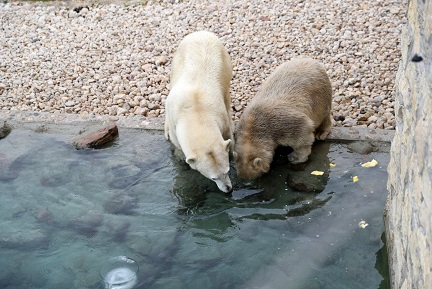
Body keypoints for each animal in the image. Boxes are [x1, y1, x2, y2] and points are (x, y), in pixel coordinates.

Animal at [165, 30, 233, 192]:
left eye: (227, 171)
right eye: (213, 178)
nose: (228, 189)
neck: (196, 112)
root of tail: (201, 32)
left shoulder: (221, 117)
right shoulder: (174, 121)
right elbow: (178, 148)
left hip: (224, 61)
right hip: (177, 60)